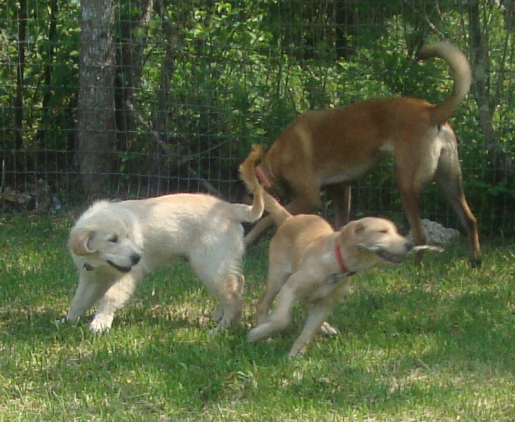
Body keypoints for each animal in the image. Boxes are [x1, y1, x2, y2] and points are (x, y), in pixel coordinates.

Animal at [66, 187, 264, 332]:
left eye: (128, 236)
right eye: (112, 240)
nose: (137, 257)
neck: (100, 262)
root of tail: (229, 208)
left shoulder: (129, 275)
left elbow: (110, 296)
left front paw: (100, 324)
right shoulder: (91, 277)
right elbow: (79, 299)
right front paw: (68, 321)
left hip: (210, 264)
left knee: (234, 297)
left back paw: (222, 328)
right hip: (219, 263)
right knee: (237, 282)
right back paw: (220, 316)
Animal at [240, 145, 414, 356]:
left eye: (396, 231)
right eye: (382, 231)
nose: (409, 244)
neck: (336, 264)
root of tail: (289, 218)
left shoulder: (324, 306)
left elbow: (307, 333)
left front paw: (295, 356)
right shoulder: (291, 287)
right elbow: (282, 319)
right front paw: (260, 334)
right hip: (278, 275)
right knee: (263, 304)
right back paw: (265, 334)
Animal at [244, 42, 482, 268]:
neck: (275, 160)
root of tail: (432, 111)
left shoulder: (308, 198)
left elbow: (267, 220)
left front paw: (249, 239)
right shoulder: (340, 191)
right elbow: (341, 226)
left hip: (406, 183)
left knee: (420, 234)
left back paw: (414, 268)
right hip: (448, 181)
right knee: (470, 219)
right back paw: (475, 260)